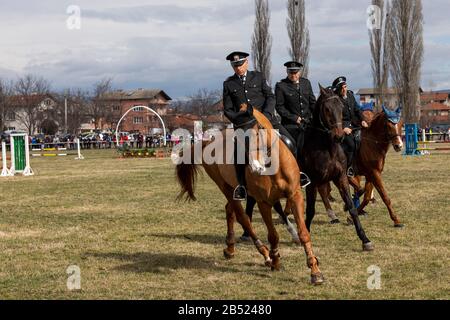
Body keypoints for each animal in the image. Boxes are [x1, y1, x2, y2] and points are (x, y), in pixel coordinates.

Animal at [174, 108, 326, 284]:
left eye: (258, 131)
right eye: (238, 139)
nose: (256, 167)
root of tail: (209, 141)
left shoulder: (295, 195)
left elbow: (304, 233)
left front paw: (315, 271)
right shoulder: (263, 202)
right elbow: (273, 235)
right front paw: (275, 260)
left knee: (230, 210)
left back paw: (230, 247)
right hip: (225, 187)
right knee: (243, 218)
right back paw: (265, 254)